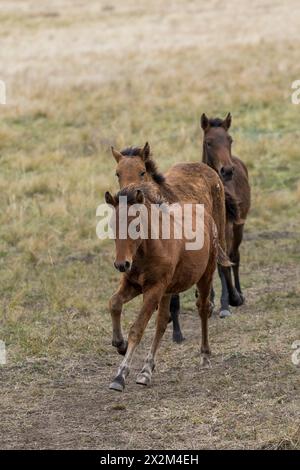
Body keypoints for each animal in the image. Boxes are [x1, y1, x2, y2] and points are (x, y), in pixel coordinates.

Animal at [109, 143, 243, 342]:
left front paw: (177, 333)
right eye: (117, 173)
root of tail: (207, 169)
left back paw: (228, 303)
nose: (127, 196)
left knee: (223, 265)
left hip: (219, 231)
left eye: (142, 171)